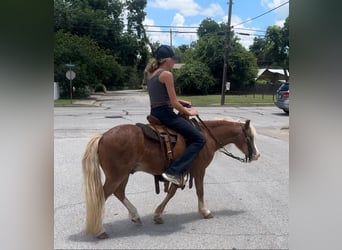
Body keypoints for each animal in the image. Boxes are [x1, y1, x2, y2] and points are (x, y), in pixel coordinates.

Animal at [82, 116, 260, 238]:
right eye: (249, 137)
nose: (257, 155)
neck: (206, 137)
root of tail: (102, 137)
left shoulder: (177, 171)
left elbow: (171, 192)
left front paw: (158, 215)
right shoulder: (199, 170)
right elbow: (200, 191)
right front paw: (205, 211)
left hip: (123, 174)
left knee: (119, 193)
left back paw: (135, 216)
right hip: (116, 175)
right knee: (103, 196)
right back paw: (99, 230)